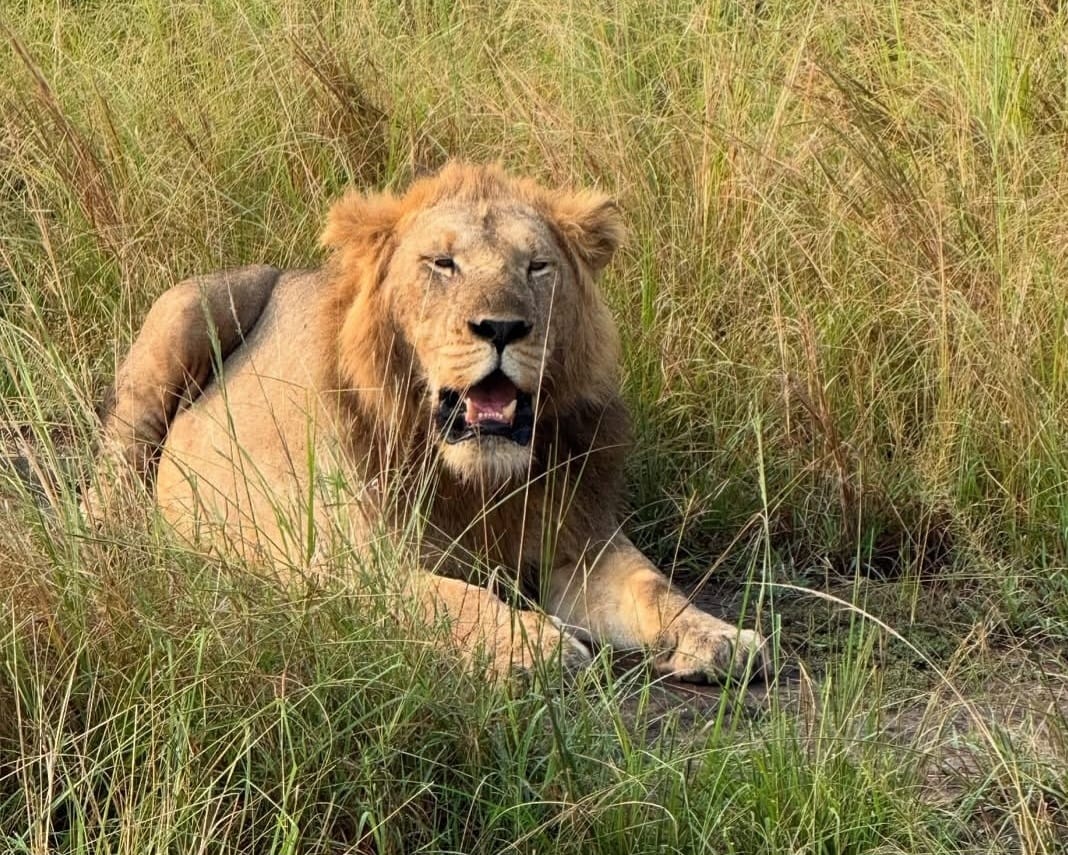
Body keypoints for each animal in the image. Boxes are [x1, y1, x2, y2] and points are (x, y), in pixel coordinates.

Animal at [86, 162, 763, 681]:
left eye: (537, 267)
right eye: (443, 263)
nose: (501, 327)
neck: (476, 481)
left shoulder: (578, 539)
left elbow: (652, 585)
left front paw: (718, 635)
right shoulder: (351, 563)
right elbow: (455, 597)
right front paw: (534, 647)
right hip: (188, 309)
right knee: (109, 487)